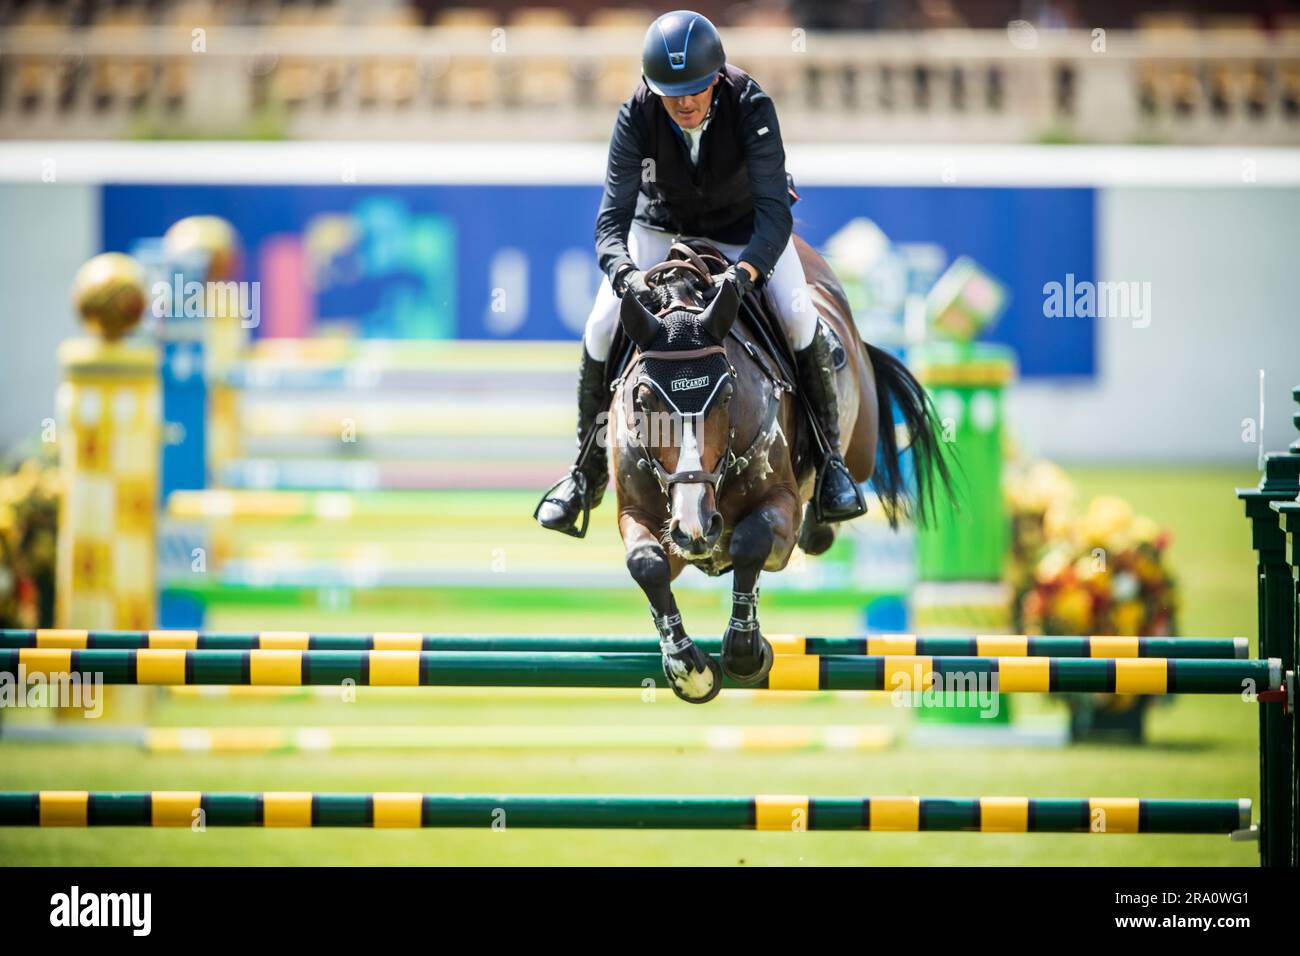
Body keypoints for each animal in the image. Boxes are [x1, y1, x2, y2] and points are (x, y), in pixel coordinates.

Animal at [608, 236, 956, 707]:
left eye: (727, 394)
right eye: (643, 399)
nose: (697, 526)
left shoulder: (780, 507)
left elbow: (750, 542)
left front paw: (746, 652)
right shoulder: (646, 518)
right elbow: (647, 564)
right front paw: (689, 669)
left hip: (860, 446)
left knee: (837, 484)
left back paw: (828, 510)